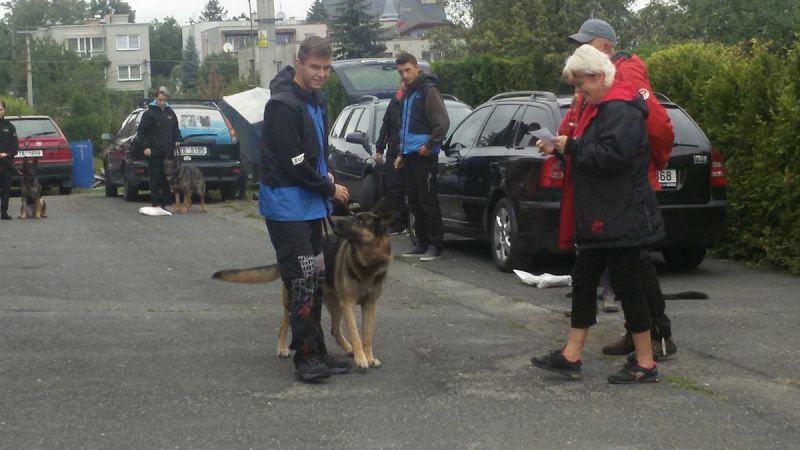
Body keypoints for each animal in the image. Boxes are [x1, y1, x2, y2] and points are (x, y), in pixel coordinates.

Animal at [211, 202, 396, 370]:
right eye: (355, 217)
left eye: (360, 221)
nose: (335, 222)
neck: (368, 262)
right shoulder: (348, 304)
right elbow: (356, 335)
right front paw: (361, 359)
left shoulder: (369, 305)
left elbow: (367, 336)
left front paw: (369, 357)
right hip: (298, 299)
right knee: (283, 323)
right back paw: (282, 349)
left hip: (335, 304)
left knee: (335, 330)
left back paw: (348, 349)